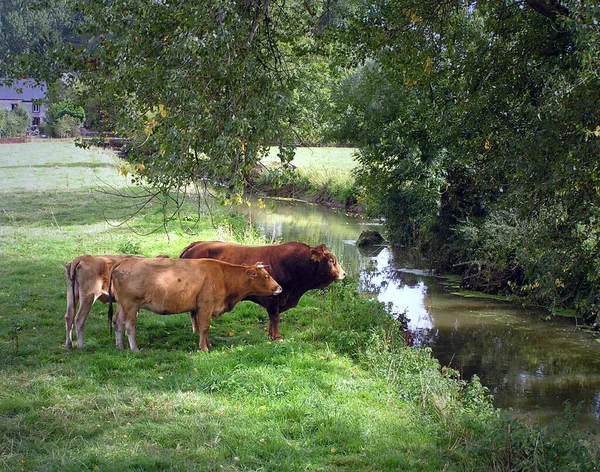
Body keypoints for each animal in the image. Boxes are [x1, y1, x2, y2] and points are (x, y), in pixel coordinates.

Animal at [109, 256, 282, 352]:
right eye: (266, 276)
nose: (279, 288)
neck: (223, 276)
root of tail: (123, 262)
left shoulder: (201, 308)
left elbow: (203, 328)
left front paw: (209, 344)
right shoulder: (206, 305)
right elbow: (204, 327)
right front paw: (204, 348)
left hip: (121, 304)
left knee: (117, 322)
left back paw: (119, 347)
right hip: (131, 305)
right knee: (129, 327)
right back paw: (134, 349)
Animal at [179, 243, 346, 340]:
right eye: (331, 260)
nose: (344, 274)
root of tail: (195, 245)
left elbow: (273, 319)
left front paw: (270, 334)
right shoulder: (274, 298)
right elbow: (275, 318)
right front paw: (277, 337)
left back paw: (196, 330)